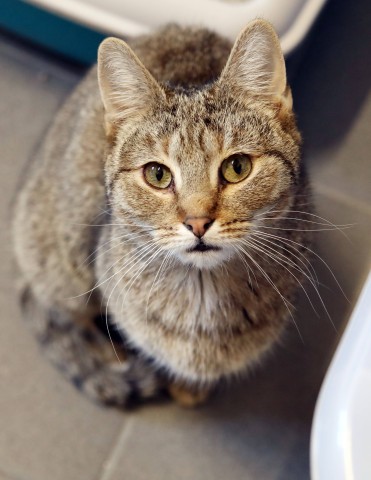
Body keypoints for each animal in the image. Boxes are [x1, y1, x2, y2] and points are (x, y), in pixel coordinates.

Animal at [12, 20, 314, 406]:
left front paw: (190, 387)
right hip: (61, 259)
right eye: (157, 174)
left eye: (237, 167)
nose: (197, 222)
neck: (203, 292)